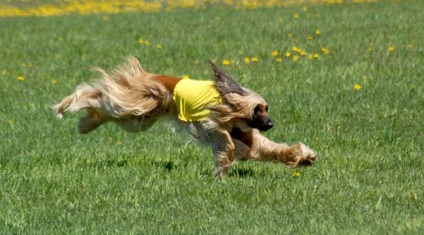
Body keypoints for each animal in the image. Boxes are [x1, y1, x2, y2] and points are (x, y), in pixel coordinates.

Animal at [53, 57, 316, 178]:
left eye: (266, 108)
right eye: (256, 109)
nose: (270, 124)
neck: (233, 116)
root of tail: (150, 77)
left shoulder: (248, 136)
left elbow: (268, 148)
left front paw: (304, 156)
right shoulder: (210, 122)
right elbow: (227, 142)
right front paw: (223, 167)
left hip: (139, 117)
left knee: (102, 107)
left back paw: (85, 123)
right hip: (134, 105)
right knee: (95, 94)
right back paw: (63, 106)